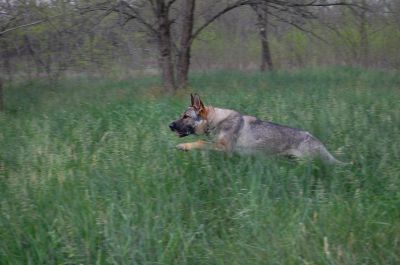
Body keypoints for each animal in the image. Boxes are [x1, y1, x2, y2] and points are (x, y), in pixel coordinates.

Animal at [169, 93, 344, 163]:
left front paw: (183, 146)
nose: (169, 125)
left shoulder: (224, 148)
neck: (215, 120)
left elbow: (199, 142)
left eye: (185, 116)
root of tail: (317, 141)